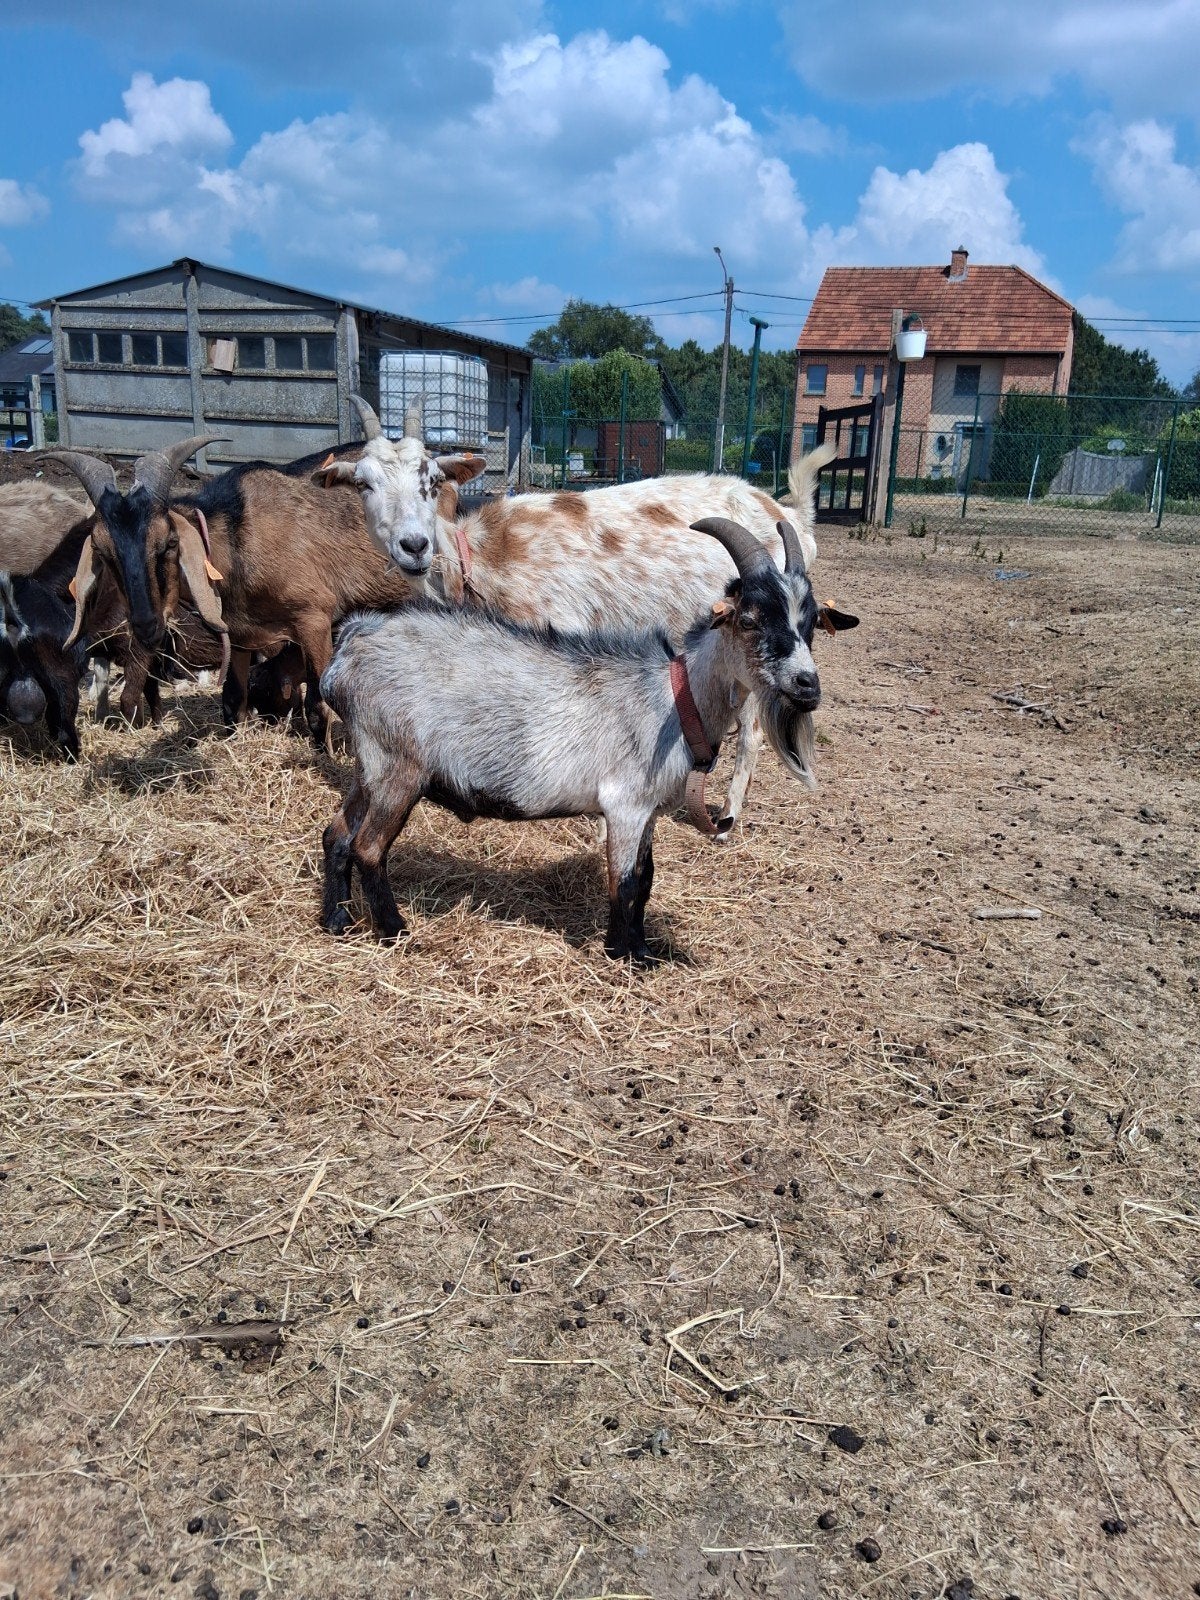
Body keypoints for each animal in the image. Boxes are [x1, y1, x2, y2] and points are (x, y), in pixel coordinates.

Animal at [313, 395, 837, 831]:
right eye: (363, 484)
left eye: (432, 480)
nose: (415, 546)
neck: (480, 558)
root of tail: (790, 514)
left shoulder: (557, 628)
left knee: (752, 733)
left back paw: (727, 816)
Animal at [319, 514, 858, 961]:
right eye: (748, 619)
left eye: (809, 624)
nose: (807, 686)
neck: (674, 699)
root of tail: (350, 646)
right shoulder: (624, 805)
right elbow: (625, 881)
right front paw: (626, 954)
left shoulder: (649, 810)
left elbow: (646, 878)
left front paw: (642, 946)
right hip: (399, 767)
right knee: (368, 846)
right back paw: (393, 930)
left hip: (369, 767)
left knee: (337, 833)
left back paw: (337, 919)